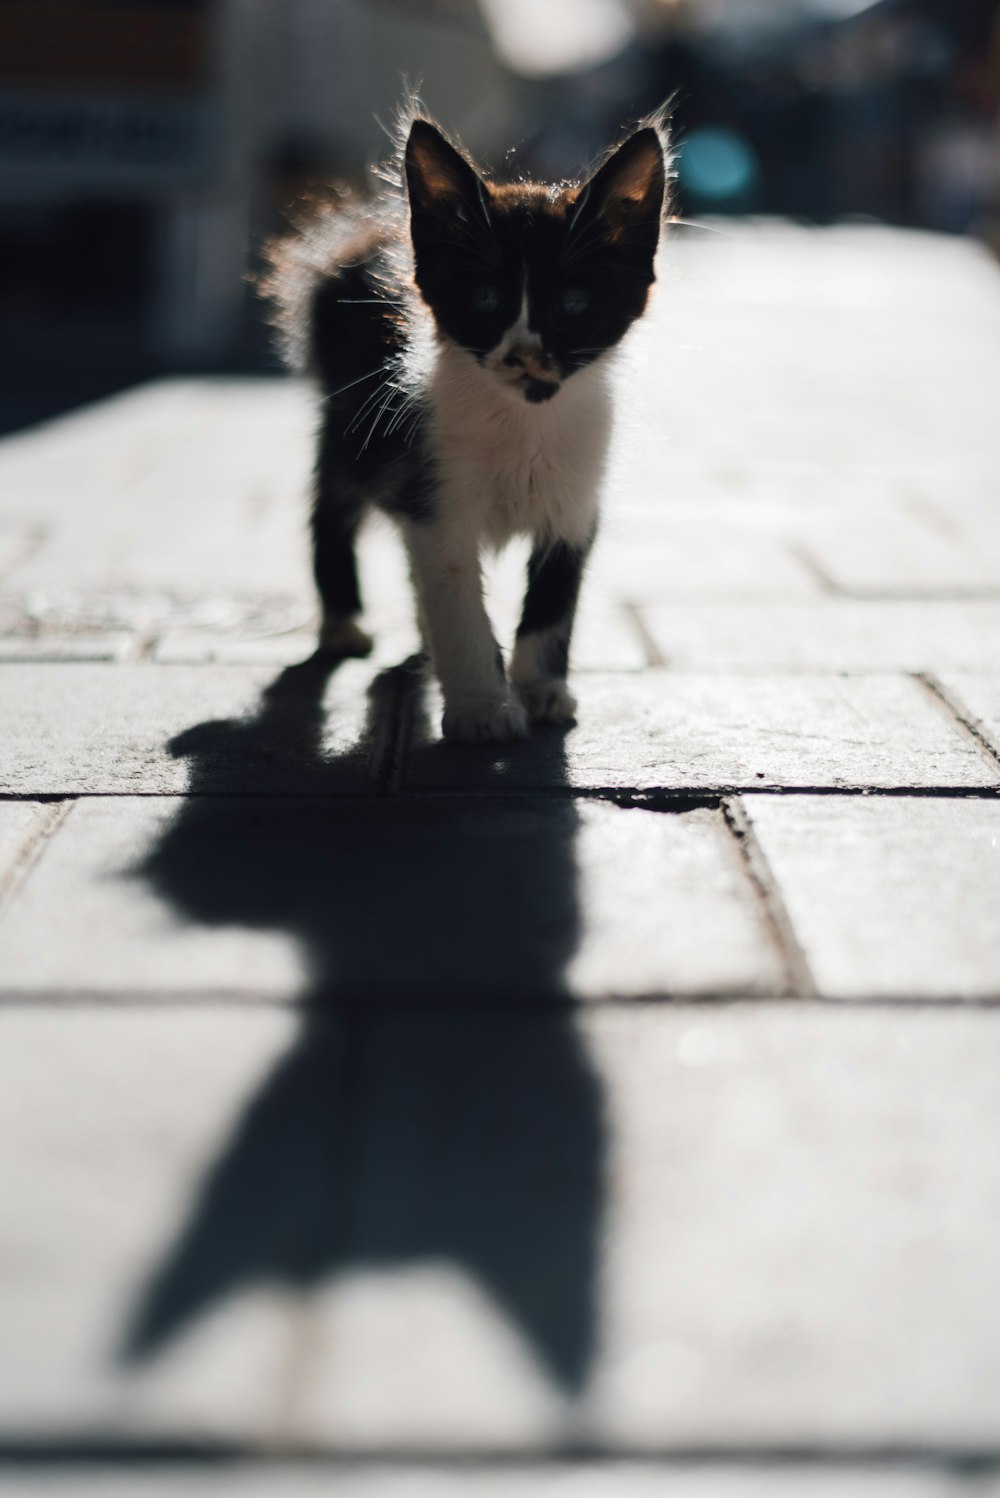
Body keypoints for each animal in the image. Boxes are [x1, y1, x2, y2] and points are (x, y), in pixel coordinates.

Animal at [269, 109, 667, 743]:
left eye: (574, 303)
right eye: (485, 298)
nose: (524, 354)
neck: (525, 418)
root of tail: (360, 242)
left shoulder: (576, 498)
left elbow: (554, 601)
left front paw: (541, 689)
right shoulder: (432, 485)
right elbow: (456, 597)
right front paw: (482, 707)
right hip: (352, 427)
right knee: (331, 508)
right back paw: (341, 626)